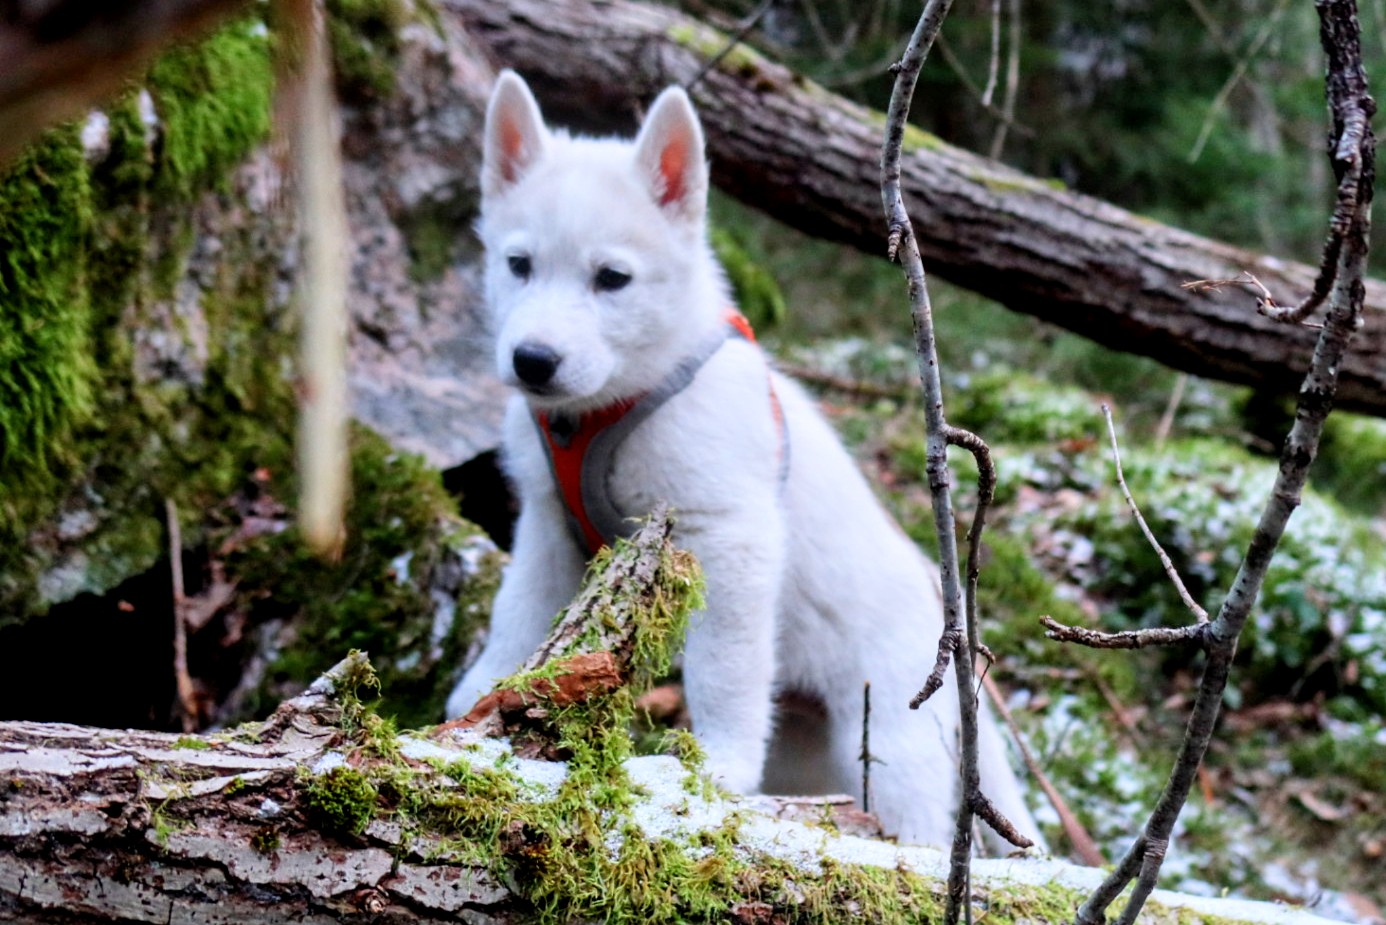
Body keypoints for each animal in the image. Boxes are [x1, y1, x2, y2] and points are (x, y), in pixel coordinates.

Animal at [449, 70, 1042, 854]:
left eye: (612, 279)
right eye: (518, 266)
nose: (533, 361)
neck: (611, 407)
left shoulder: (727, 536)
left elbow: (720, 670)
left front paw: (716, 765)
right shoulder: (547, 525)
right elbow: (516, 615)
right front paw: (479, 697)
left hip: (892, 737)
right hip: (807, 750)